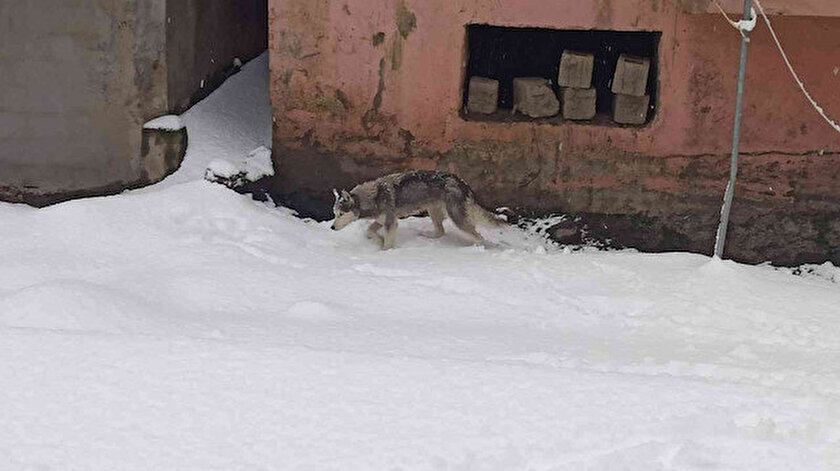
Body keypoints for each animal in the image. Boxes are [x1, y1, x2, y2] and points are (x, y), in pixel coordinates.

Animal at [332, 171, 508, 251]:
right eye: (334, 214)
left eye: (341, 214)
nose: (332, 227)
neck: (374, 197)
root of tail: (462, 182)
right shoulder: (384, 220)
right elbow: (370, 230)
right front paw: (378, 239)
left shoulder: (391, 222)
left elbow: (387, 243)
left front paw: (384, 251)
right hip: (433, 211)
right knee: (441, 231)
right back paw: (428, 236)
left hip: (456, 217)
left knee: (478, 237)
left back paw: (472, 250)